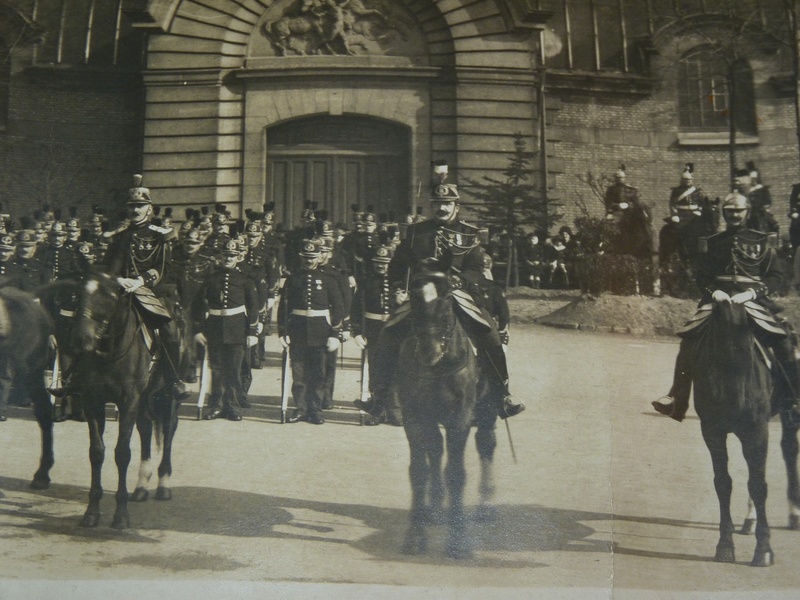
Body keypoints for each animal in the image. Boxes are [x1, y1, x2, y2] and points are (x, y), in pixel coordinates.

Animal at [71, 270, 181, 528]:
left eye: (109, 296)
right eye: (78, 293)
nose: (81, 338)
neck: (109, 351)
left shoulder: (129, 400)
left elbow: (122, 453)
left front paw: (120, 515)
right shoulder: (93, 401)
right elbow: (96, 452)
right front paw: (92, 511)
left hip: (167, 393)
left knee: (169, 428)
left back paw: (163, 484)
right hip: (144, 398)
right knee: (146, 428)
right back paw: (141, 487)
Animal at [396, 272, 496, 556]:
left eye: (449, 297)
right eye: (414, 296)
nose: (428, 350)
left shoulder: (459, 419)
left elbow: (456, 472)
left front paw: (457, 540)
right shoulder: (414, 417)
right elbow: (419, 470)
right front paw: (414, 535)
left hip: (487, 411)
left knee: (486, 444)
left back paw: (485, 503)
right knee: (436, 450)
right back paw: (435, 504)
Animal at [692, 302, 776, 564]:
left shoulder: (757, 430)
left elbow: (758, 485)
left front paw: (764, 550)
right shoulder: (711, 431)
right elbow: (723, 482)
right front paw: (725, 546)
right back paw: (749, 521)